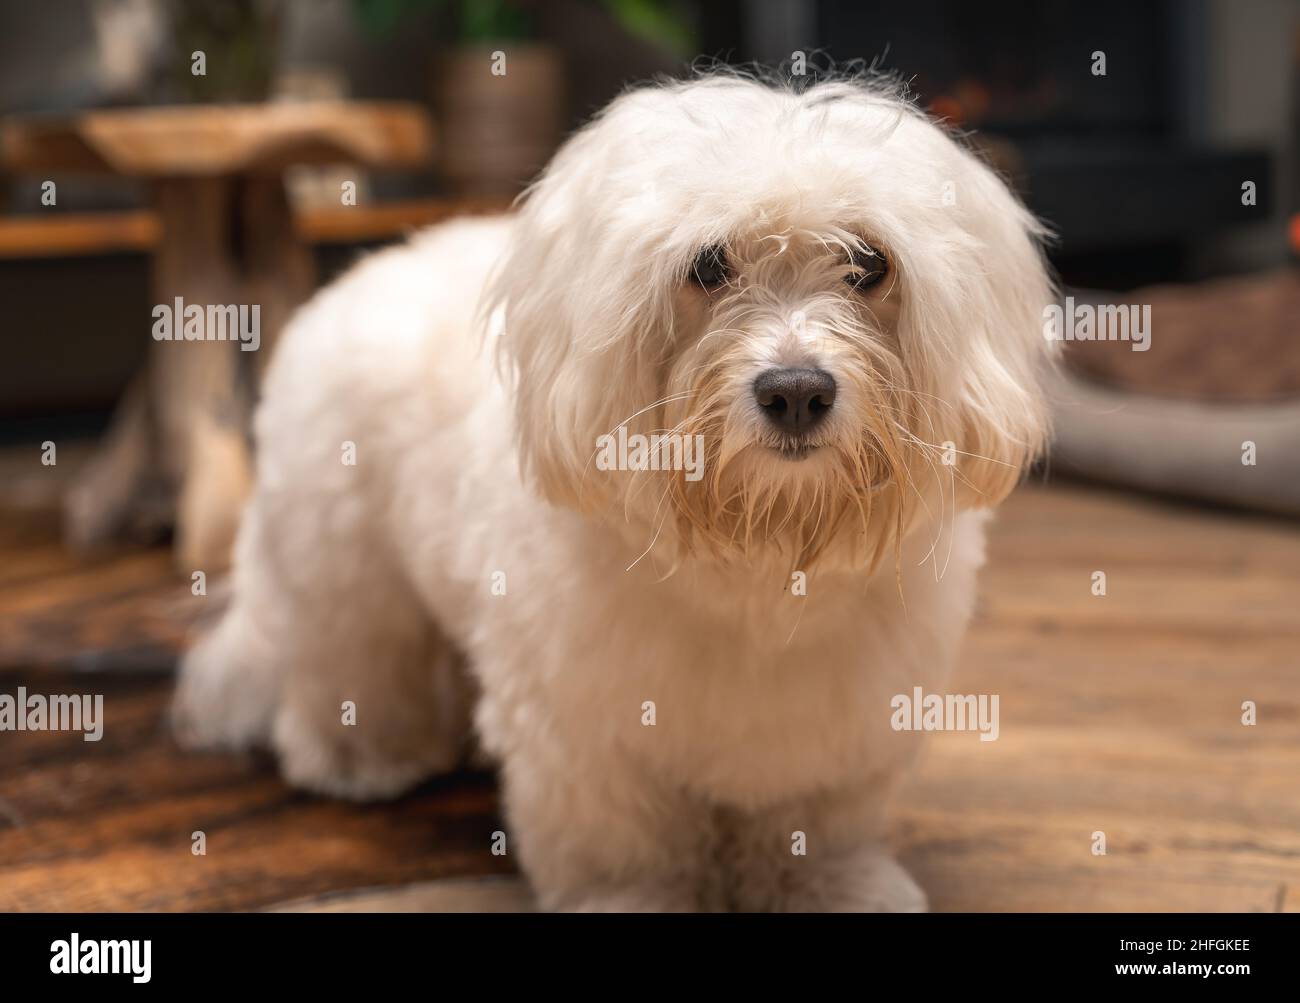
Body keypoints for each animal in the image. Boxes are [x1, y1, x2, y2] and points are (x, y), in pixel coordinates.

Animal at [170, 74, 1055, 914]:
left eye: (870, 264)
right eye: (708, 265)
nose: (797, 390)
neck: (761, 551)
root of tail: (363, 273)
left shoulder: (834, 736)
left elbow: (814, 826)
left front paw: (834, 887)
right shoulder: (586, 738)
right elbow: (620, 841)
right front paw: (633, 897)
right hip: (350, 577)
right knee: (347, 669)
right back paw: (358, 757)